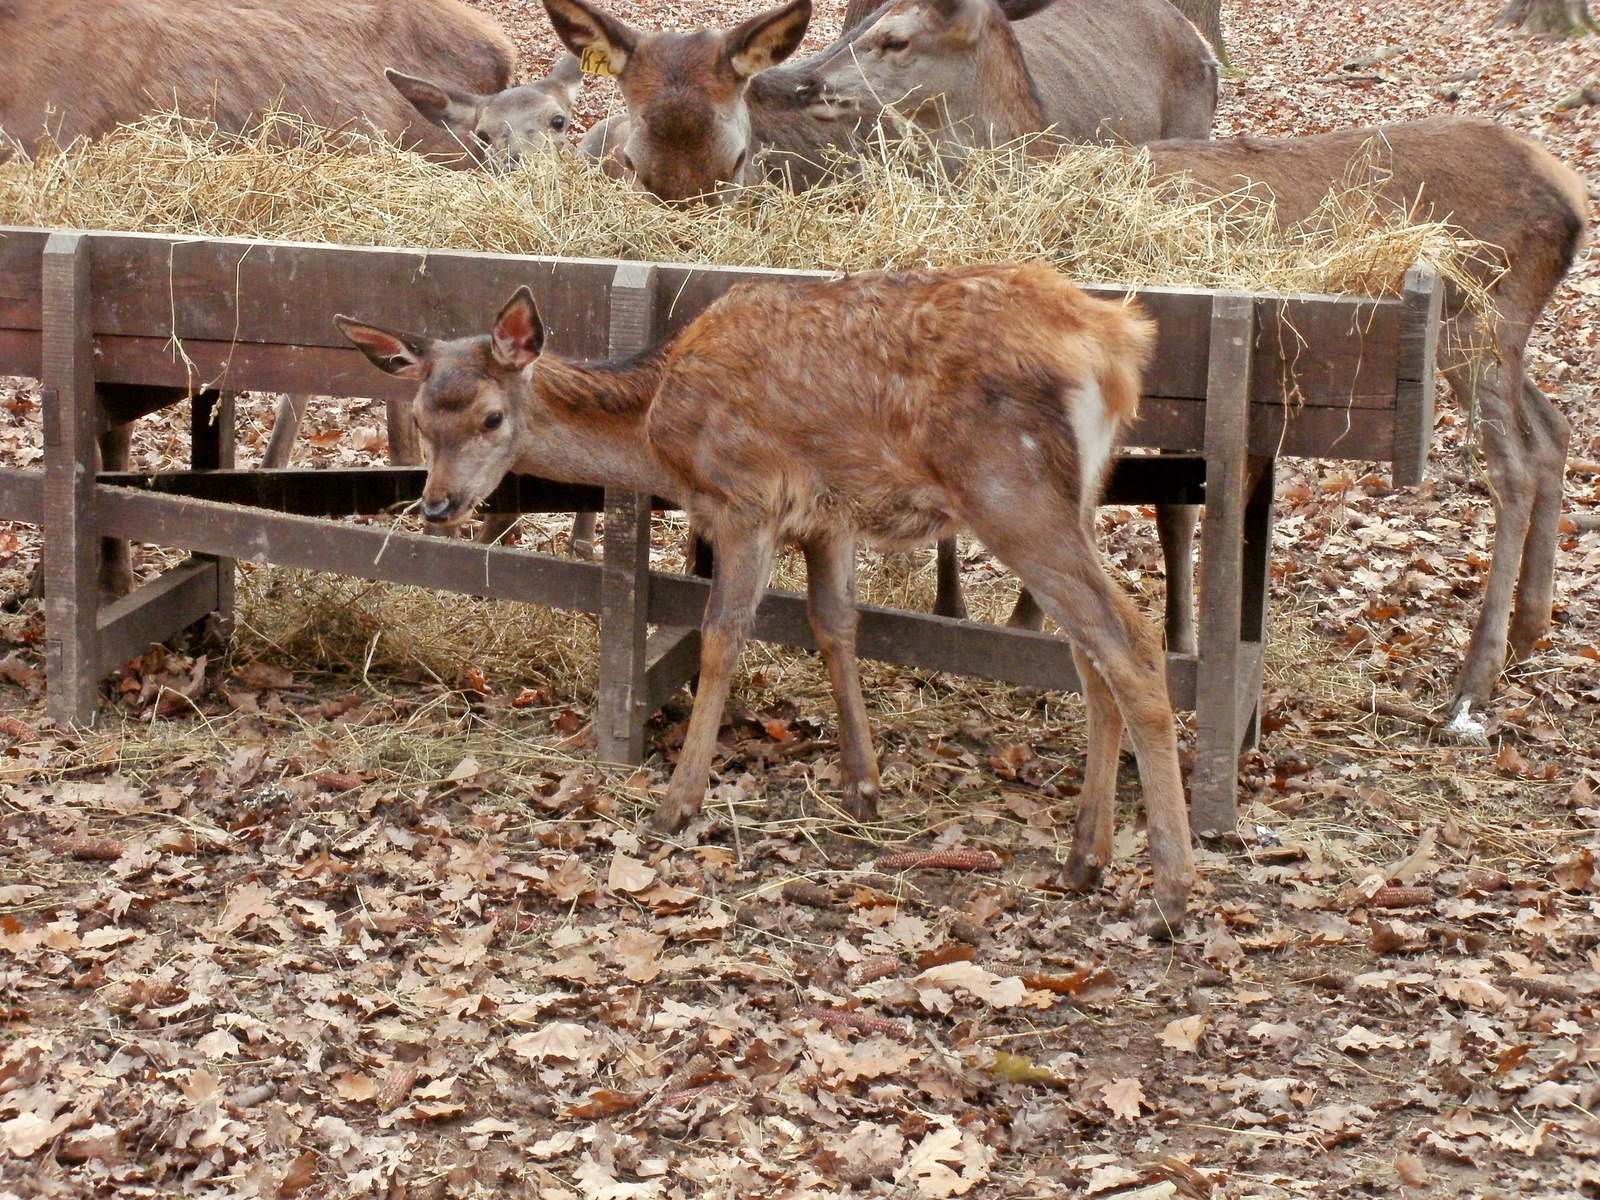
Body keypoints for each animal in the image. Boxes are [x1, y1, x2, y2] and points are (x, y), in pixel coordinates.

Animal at [344, 265, 1196, 928]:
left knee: (1128, 642)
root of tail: (1117, 345)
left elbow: (723, 635)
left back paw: (1170, 891)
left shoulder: (745, 497)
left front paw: (678, 802)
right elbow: (835, 625)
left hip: (1008, 487)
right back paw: (1085, 858)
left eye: (492, 416)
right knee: (1089, 655)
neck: (658, 430)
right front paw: (864, 785)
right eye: (419, 418)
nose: (437, 505)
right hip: (1074, 496)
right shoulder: (829, 516)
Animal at [800, 11, 1587, 732]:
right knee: (1553, 428)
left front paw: (1050, 632)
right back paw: (1528, 631)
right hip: (1498, 334)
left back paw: (1472, 681)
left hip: (1478, 317)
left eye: (895, 37)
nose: (805, 83)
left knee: (1513, 463)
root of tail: (1573, 197)